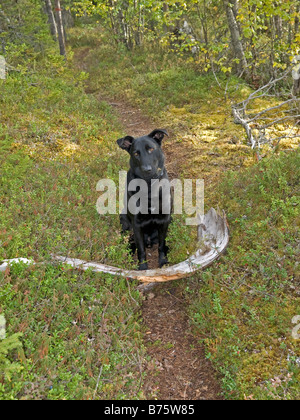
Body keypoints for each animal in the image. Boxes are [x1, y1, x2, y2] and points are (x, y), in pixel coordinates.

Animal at [118, 130, 172, 270]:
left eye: (151, 149)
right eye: (136, 153)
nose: (147, 170)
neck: (148, 186)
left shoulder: (165, 220)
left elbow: (161, 245)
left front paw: (163, 261)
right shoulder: (136, 225)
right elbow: (141, 249)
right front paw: (143, 268)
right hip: (124, 220)